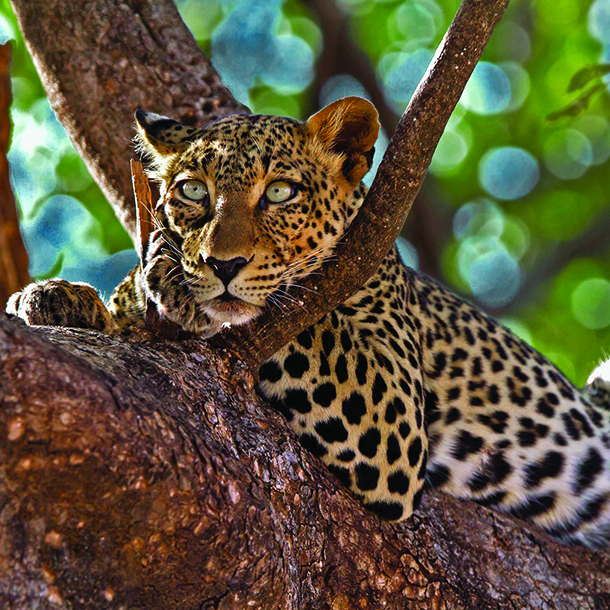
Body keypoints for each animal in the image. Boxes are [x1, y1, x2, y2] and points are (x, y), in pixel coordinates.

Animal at [8, 96, 608, 548]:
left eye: (280, 192)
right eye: (193, 191)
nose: (223, 264)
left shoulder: (392, 404)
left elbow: (300, 318)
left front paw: (173, 274)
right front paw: (51, 297)